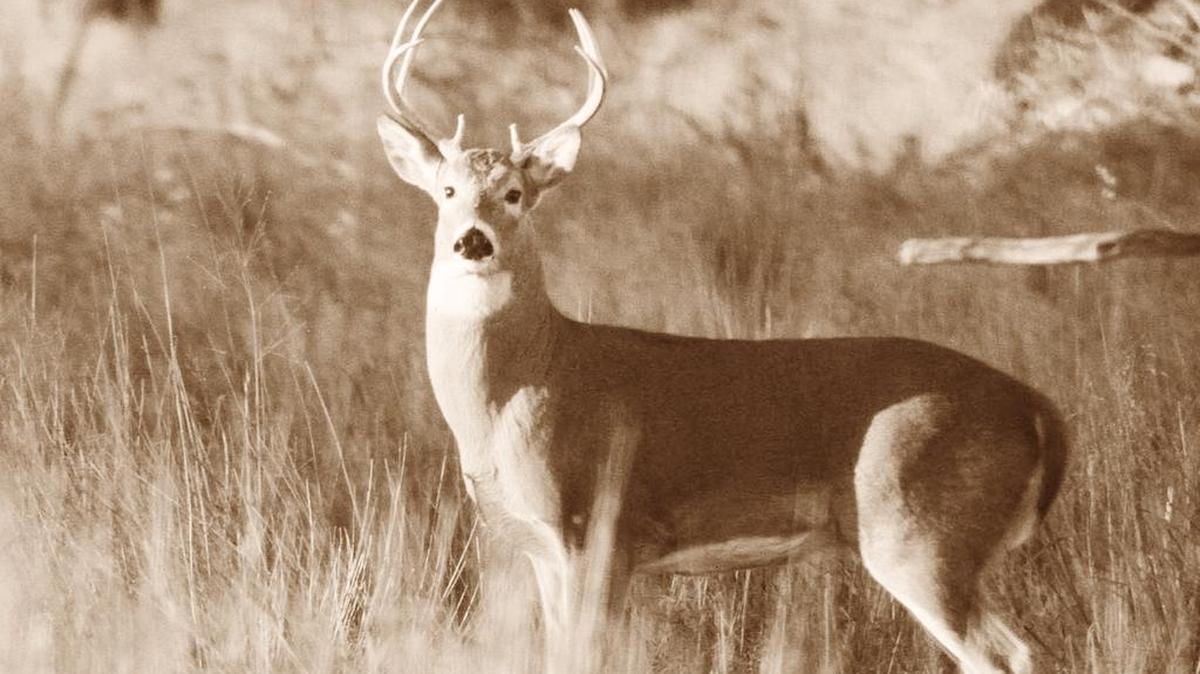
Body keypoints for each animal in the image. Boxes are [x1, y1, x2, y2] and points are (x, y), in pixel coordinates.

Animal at [375, 2, 1068, 672]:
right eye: (446, 191)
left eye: (516, 194)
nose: (473, 241)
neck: (521, 392)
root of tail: (1039, 408)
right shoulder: (539, 546)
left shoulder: (597, 527)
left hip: (920, 531)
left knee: (1008, 652)